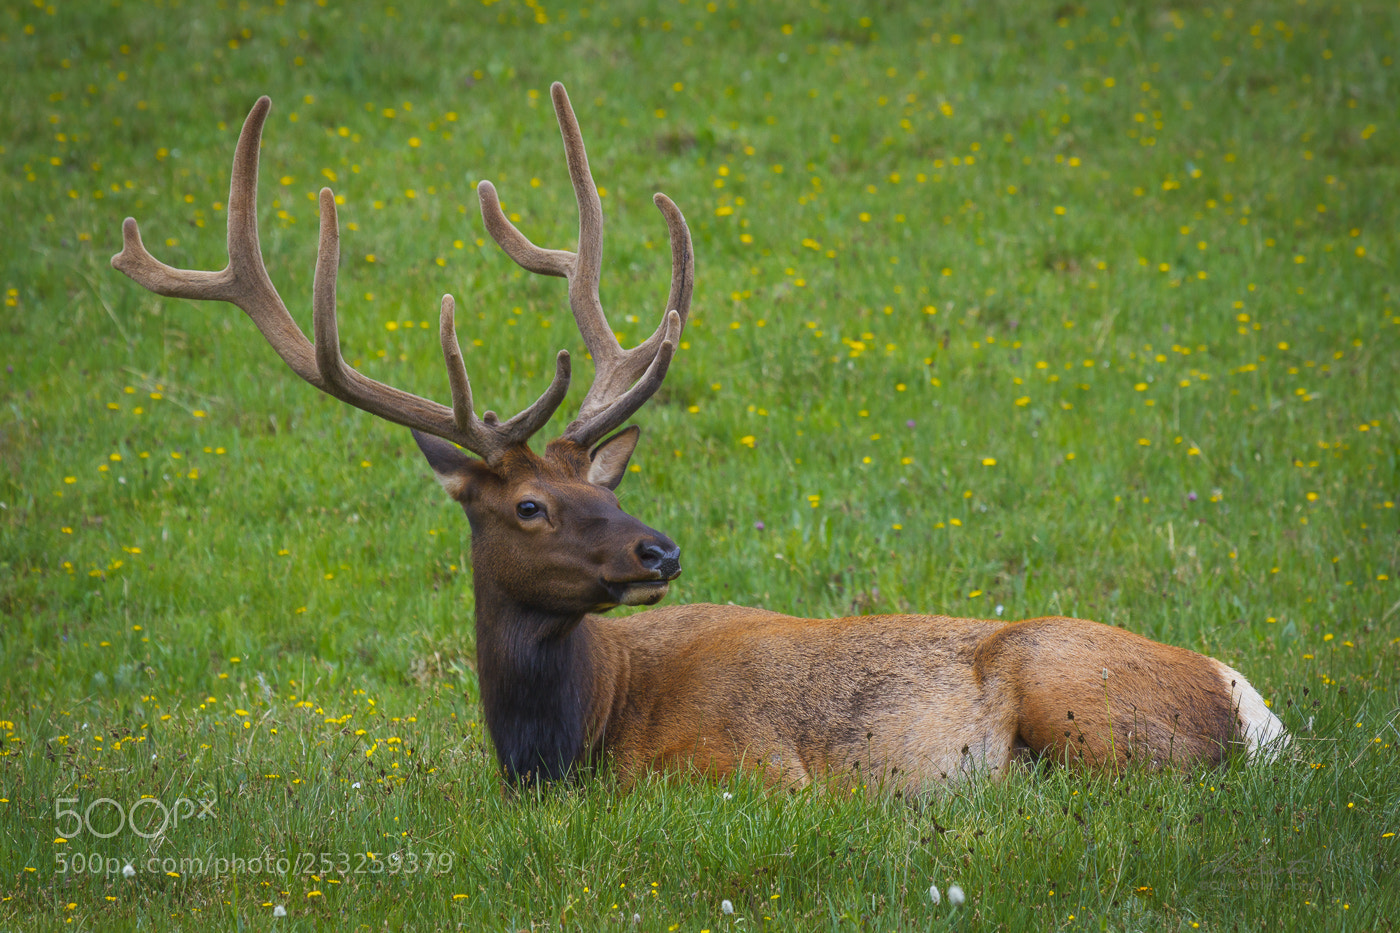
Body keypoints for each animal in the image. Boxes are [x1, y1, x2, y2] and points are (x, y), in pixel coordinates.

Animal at [113, 84, 1288, 790]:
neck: (566, 742)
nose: (660, 549)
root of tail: (1255, 713)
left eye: (606, 485)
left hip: (1083, 711)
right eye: (531, 503)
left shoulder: (748, 769)